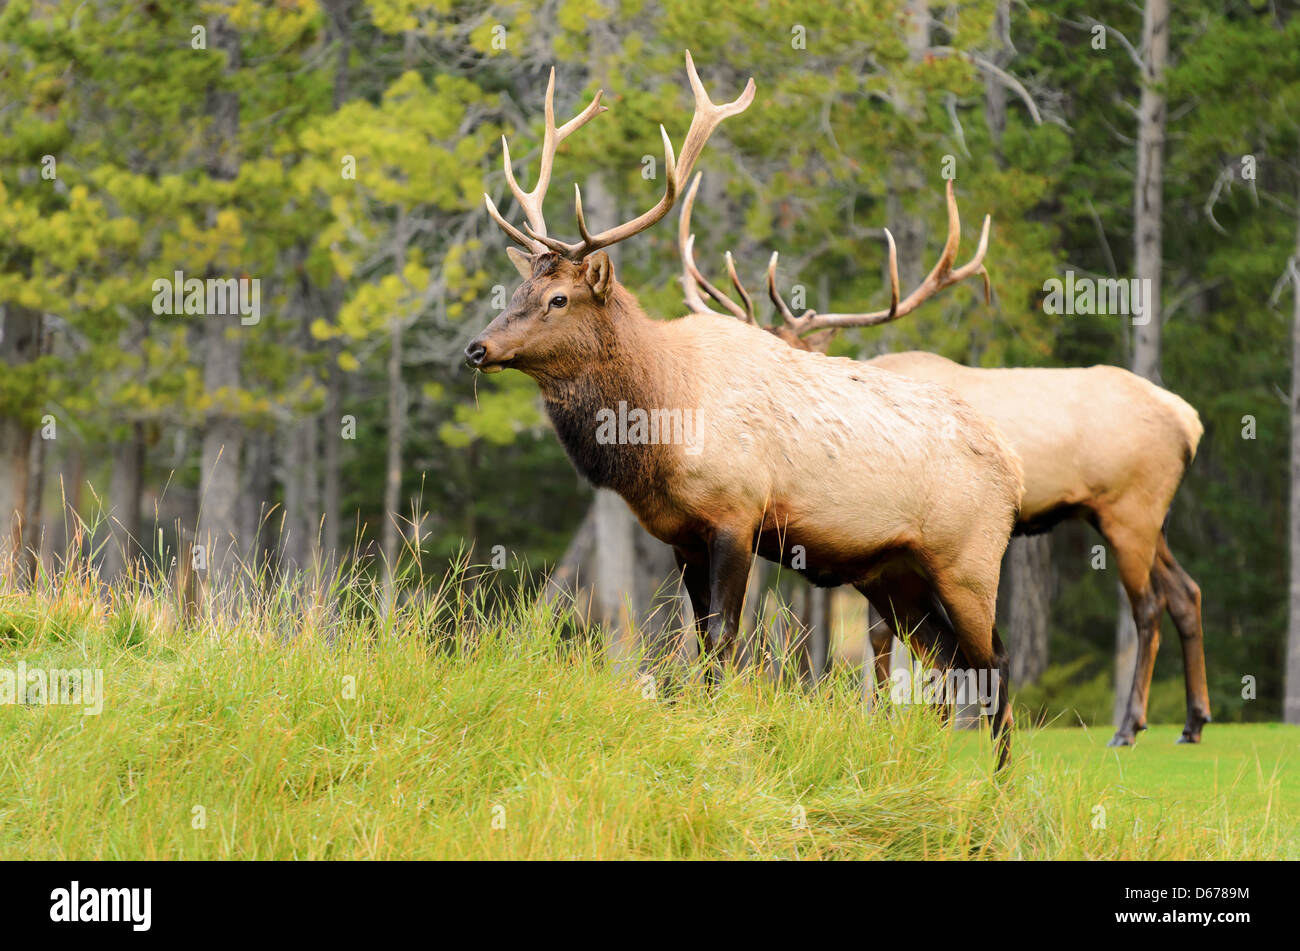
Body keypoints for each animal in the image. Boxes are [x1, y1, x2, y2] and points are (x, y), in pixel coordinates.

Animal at [463, 53, 1026, 767]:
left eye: (558, 298)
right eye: (517, 290)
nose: (477, 347)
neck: (660, 423)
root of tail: (1013, 472)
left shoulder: (736, 514)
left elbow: (725, 643)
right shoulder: (680, 534)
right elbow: (700, 645)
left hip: (969, 557)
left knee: (996, 661)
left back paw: (999, 783)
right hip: (893, 572)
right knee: (952, 662)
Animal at [680, 172, 1210, 748]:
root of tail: (1188, 419)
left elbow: (886, 635)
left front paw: (912, 717)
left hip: (1128, 510)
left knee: (1148, 605)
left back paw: (1129, 726)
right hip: (1145, 517)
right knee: (1186, 591)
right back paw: (1192, 721)